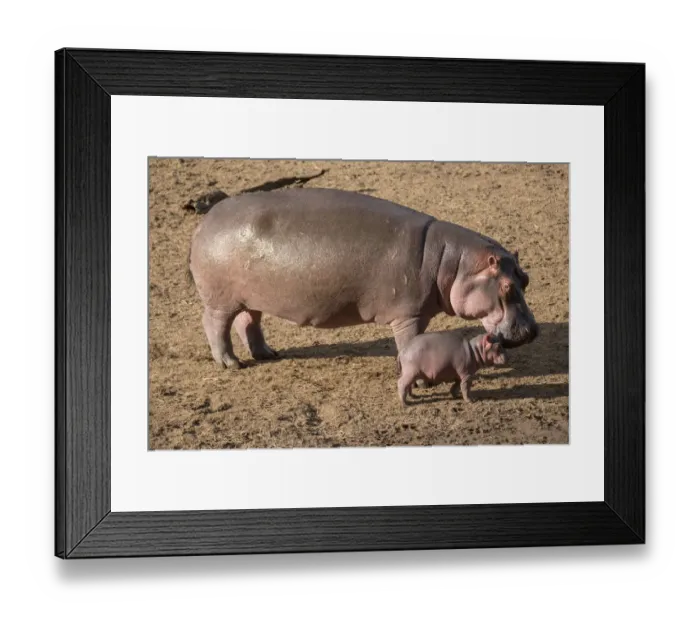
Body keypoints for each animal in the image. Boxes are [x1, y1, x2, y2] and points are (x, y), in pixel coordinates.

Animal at [187, 188, 537, 369]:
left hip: (250, 296)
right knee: (215, 325)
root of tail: (204, 222)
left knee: (248, 322)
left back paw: (267, 354)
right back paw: (231, 364)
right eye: (507, 286)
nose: (533, 331)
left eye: (526, 278)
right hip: (220, 300)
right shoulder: (407, 314)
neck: (454, 263)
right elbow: (409, 342)